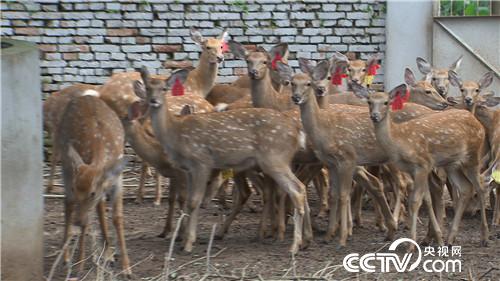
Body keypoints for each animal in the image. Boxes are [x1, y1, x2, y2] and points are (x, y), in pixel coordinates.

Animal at [55, 93, 132, 276]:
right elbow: (90, 219)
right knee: (68, 205)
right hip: (66, 164)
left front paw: (126, 267)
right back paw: (67, 258)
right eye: (76, 188)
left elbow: (117, 218)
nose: (76, 221)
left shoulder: (117, 180)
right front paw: (81, 265)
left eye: (92, 193)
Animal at [141, 66, 312, 254]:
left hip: (274, 158)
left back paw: (293, 245)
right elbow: (187, 201)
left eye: (164, 89)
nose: (154, 101)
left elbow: (193, 202)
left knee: (296, 189)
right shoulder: (188, 169)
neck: (175, 133)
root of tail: (297, 131)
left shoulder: (201, 161)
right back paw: (301, 241)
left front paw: (188, 244)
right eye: (148, 88)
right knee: (299, 188)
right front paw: (184, 240)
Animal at [354, 81, 490, 247]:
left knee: (481, 186)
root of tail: (476, 121)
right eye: (369, 102)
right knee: (466, 187)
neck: (399, 140)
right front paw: (429, 238)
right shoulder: (413, 169)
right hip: (452, 164)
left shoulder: (423, 164)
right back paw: (450, 238)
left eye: (386, 102)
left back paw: (484, 237)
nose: (374, 116)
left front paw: (412, 245)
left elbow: (415, 201)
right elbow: (424, 198)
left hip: (473, 156)